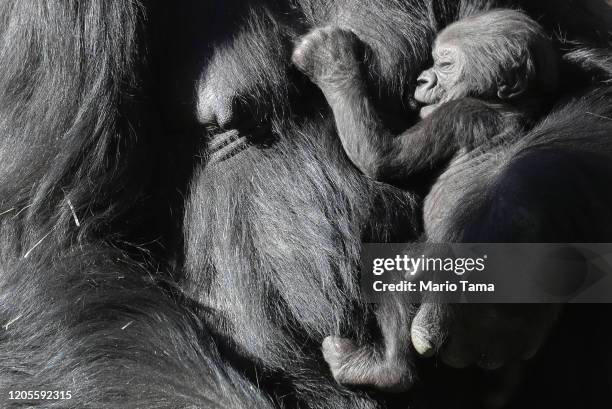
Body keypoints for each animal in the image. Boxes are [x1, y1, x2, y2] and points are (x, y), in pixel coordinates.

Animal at [292, 9, 560, 390]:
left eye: (445, 64)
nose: (422, 80)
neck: (507, 104)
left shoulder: (458, 114)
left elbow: (383, 156)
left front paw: (330, 59)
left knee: (395, 285)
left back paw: (382, 369)